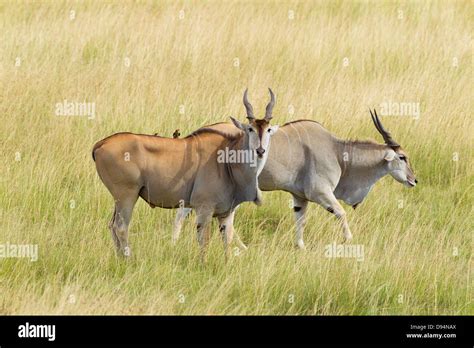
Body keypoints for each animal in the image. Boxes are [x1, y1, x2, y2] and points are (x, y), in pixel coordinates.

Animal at [91, 89, 280, 258]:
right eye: (250, 129)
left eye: (268, 130)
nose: (260, 150)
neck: (227, 159)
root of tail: (101, 144)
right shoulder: (204, 209)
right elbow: (204, 241)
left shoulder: (225, 214)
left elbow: (227, 241)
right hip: (127, 196)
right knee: (121, 227)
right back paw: (128, 259)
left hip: (120, 200)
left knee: (112, 226)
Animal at [172, 110, 416, 249]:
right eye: (402, 157)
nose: (414, 180)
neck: (337, 151)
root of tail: (195, 135)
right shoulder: (321, 193)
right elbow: (341, 213)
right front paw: (349, 240)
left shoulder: (300, 197)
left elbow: (300, 220)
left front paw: (301, 247)